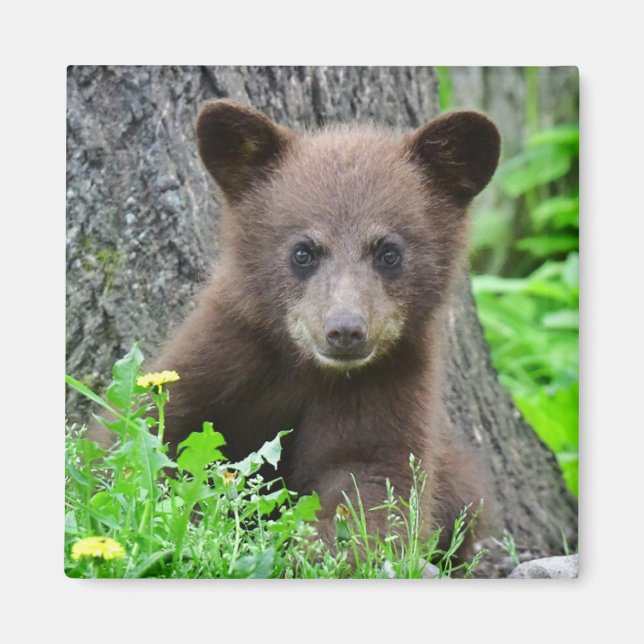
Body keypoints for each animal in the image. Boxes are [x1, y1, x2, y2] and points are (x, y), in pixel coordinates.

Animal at [124, 100, 501, 549]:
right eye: (303, 251)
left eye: (389, 252)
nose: (345, 330)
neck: (306, 367)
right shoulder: (222, 355)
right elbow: (156, 434)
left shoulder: (387, 384)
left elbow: (374, 482)